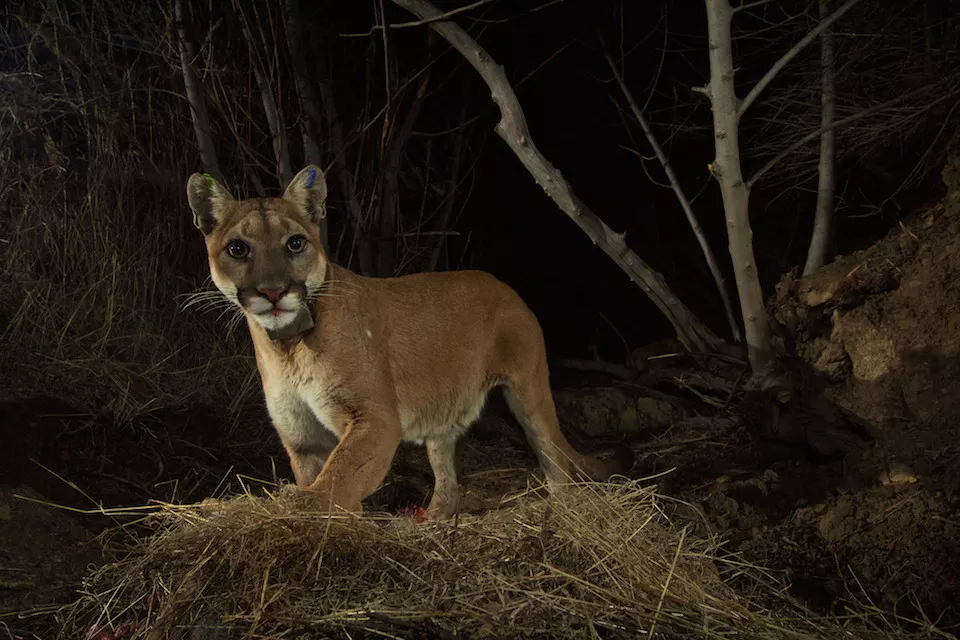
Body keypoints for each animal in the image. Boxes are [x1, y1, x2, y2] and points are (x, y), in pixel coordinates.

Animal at [185, 165, 632, 519]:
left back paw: (562, 511)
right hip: (443, 414)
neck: (287, 346)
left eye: (295, 243)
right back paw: (432, 520)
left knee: (554, 457)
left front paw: (304, 507)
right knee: (448, 479)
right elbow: (328, 477)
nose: (273, 291)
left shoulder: (375, 420)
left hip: (529, 390)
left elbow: (339, 476)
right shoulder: (302, 438)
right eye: (237, 249)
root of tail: (504, 285)